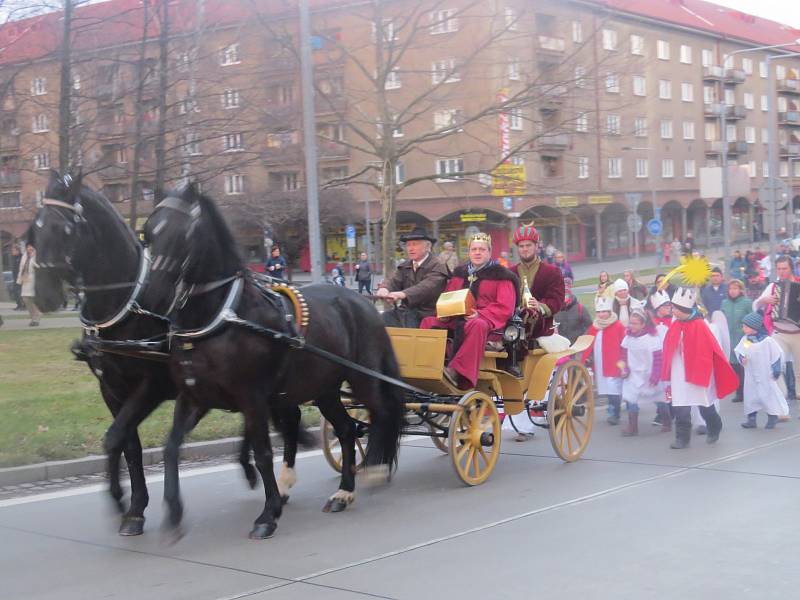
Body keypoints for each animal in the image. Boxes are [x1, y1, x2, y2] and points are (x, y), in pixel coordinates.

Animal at [139, 184, 406, 540]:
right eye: (148, 233)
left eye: (185, 233)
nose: (151, 295)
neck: (223, 317)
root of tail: (363, 302)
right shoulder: (194, 397)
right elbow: (171, 448)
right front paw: (173, 513)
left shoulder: (252, 399)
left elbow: (264, 453)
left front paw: (268, 514)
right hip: (325, 390)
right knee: (348, 430)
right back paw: (343, 491)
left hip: (364, 378)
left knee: (381, 414)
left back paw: (374, 468)